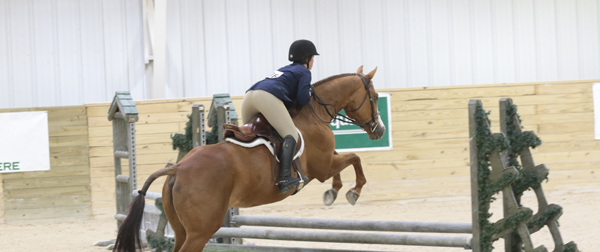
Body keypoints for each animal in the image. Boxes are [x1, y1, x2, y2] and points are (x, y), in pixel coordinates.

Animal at [112, 66, 384, 252]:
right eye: (374, 96)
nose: (379, 130)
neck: (314, 113)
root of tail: (178, 168)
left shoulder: (327, 160)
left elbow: (346, 161)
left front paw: (333, 192)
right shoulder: (322, 167)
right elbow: (354, 159)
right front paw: (352, 192)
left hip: (181, 229)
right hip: (200, 231)